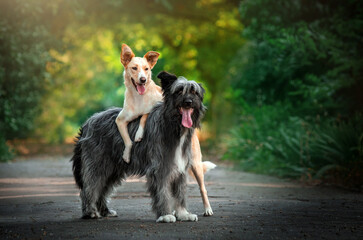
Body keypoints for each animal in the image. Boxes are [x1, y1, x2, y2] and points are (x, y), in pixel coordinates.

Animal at [72, 70, 208, 222]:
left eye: (194, 92)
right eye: (179, 91)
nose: (188, 102)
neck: (172, 125)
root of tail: (88, 122)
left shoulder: (181, 168)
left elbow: (180, 193)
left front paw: (183, 214)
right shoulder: (159, 167)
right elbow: (163, 192)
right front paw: (165, 214)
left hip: (113, 169)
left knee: (103, 188)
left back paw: (105, 211)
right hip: (97, 164)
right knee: (90, 187)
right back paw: (90, 212)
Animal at [116, 43, 216, 216]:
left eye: (146, 69)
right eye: (134, 68)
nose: (143, 79)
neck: (139, 98)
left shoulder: (152, 107)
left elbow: (144, 116)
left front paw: (139, 134)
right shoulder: (120, 120)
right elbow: (127, 139)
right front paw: (127, 154)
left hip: (195, 163)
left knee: (202, 188)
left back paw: (207, 209)